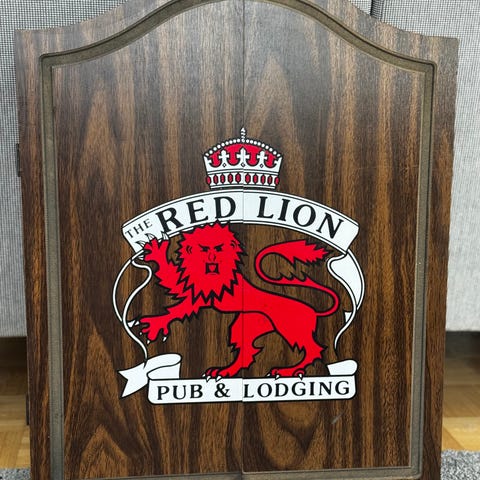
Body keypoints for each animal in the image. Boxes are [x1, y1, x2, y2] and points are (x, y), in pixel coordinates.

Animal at [139, 222, 339, 378]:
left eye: (219, 248)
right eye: (203, 248)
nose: (212, 257)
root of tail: (314, 311)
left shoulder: (204, 295)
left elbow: (179, 307)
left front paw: (154, 324)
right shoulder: (193, 289)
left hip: (291, 330)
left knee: (314, 349)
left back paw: (288, 371)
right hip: (246, 324)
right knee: (247, 352)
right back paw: (224, 371)